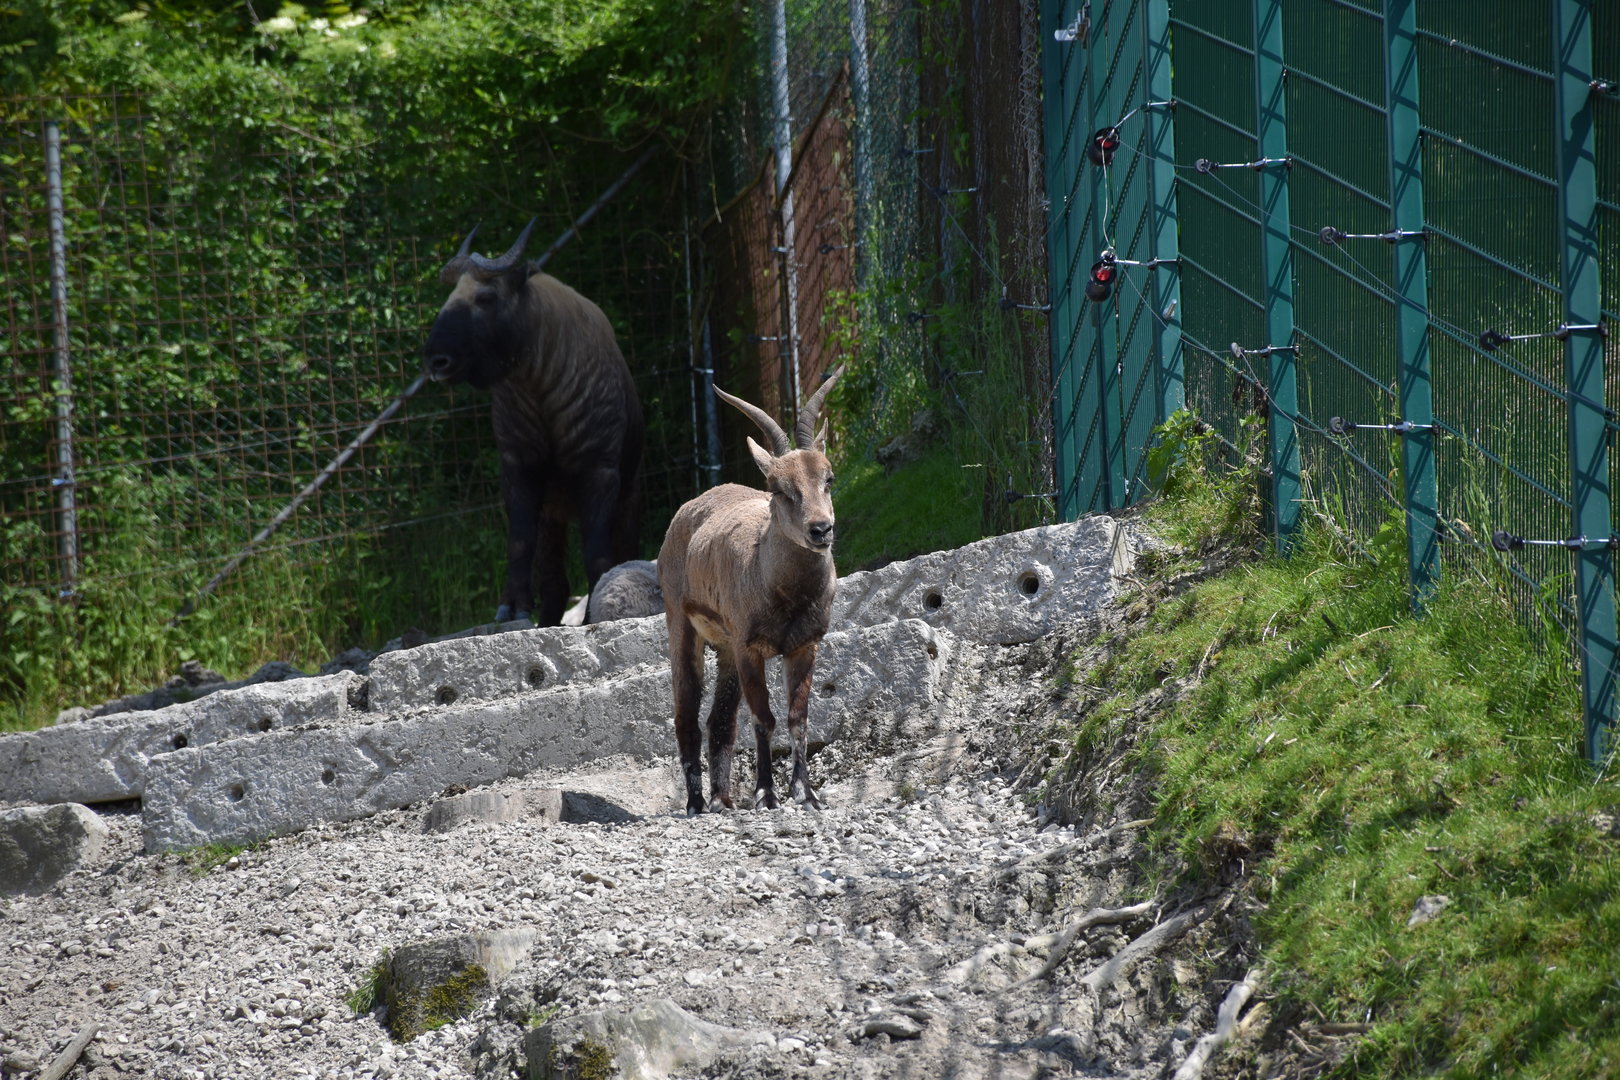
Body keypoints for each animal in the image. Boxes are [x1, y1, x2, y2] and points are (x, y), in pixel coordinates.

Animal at [658, 365, 845, 815]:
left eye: (828, 478)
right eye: (778, 487)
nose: (821, 529)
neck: (785, 594)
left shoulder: (803, 646)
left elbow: (798, 718)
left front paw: (806, 794)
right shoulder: (750, 647)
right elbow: (764, 718)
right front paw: (766, 794)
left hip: (725, 647)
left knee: (720, 719)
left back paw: (722, 799)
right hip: (684, 627)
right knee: (686, 713)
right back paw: (696, 803)